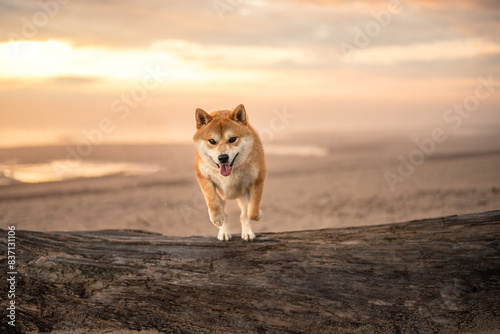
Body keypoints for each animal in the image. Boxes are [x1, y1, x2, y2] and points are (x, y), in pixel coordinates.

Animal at [193, 104, 268, 240]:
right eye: (212, 141)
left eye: (232, 139)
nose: (223, 157)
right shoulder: (203, 176)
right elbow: (212, 200)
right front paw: (216, 217)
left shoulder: (257, 180)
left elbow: (252, 212)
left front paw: (258, 213)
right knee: (226, 214)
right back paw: (223, 232)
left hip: (243, 194)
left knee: (244, 214)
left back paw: (247, 233)